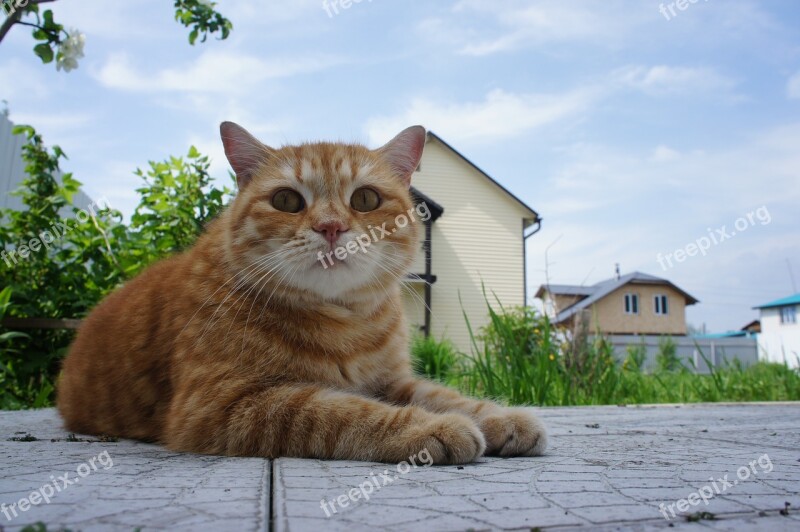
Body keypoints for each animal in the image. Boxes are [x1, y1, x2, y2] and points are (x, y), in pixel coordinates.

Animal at [56, 122, 548, 464]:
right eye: (287, 201)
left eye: (365, 199)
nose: (330, 228)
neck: (344, 320)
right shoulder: (220, 406)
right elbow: (342, 411)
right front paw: (432, 430)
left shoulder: (393, 381)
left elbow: (445, 395)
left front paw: (501, 416)